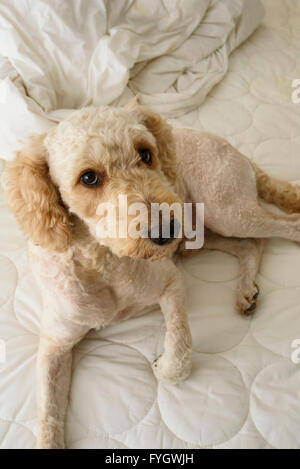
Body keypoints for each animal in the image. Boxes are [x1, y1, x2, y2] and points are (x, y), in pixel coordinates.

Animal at [2, 100, 300, 448]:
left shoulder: (171, 283)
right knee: (251, 245)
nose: (166, 230)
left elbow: (180, 343)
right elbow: (48, 410)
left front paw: (164, 366)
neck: (104, 261)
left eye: (145, 154)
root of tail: (233, 148)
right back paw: (245, 290)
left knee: (285, 227)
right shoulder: (54, 344)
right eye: (88, 177)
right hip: (203, 233)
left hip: (227, 211)